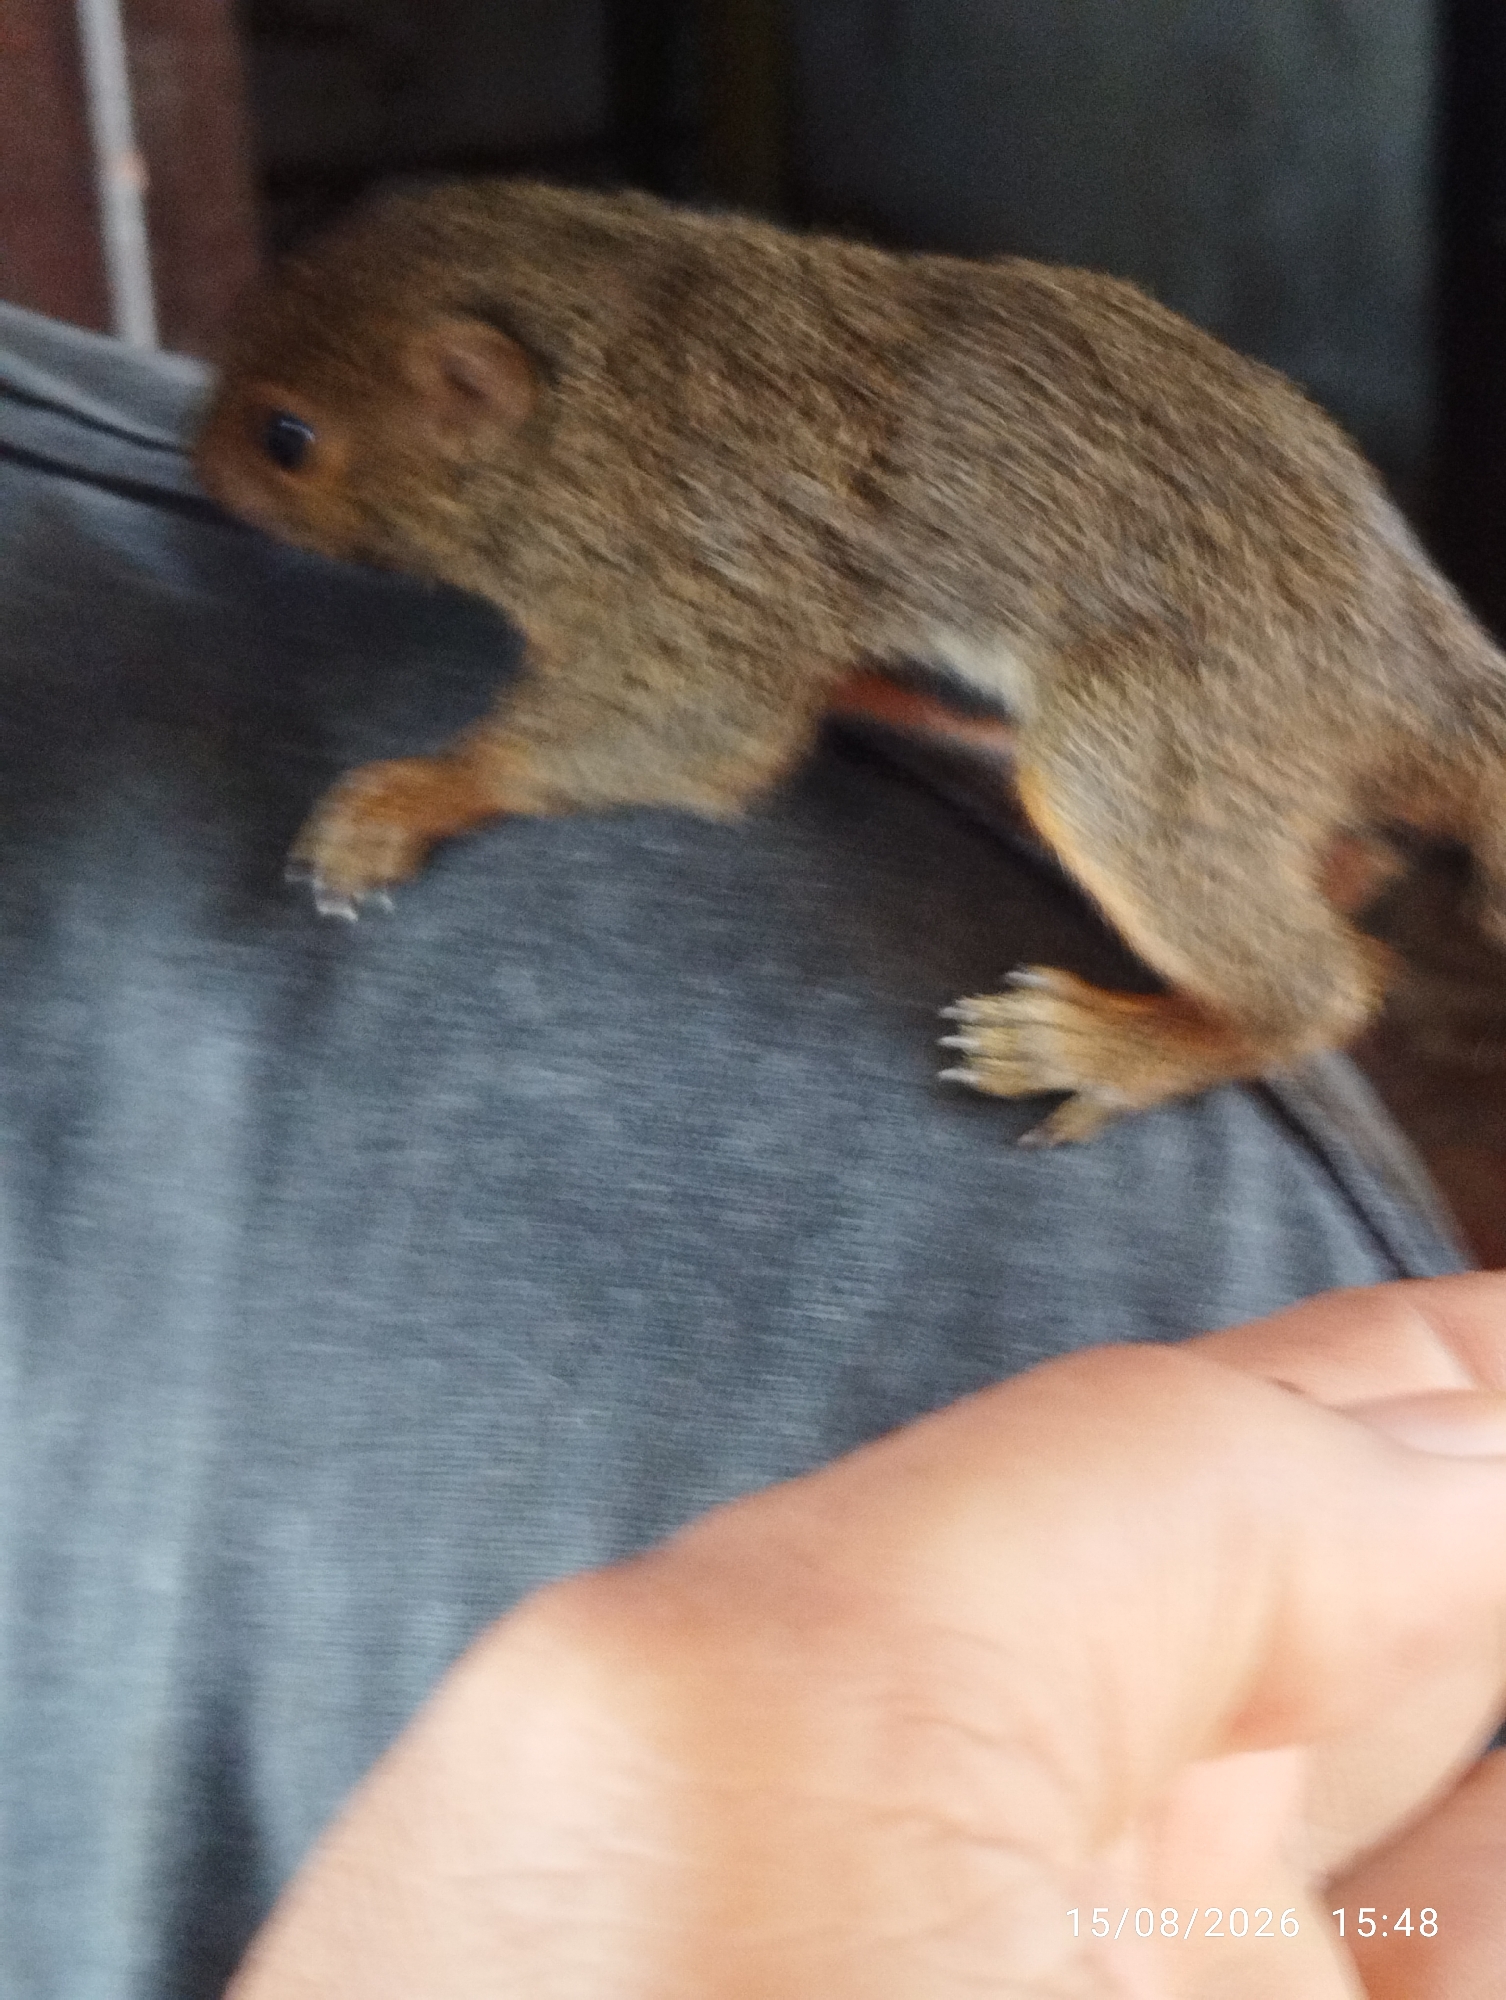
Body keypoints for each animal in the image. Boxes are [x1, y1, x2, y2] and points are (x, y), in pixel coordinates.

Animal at [192, 178, 1506, 1143]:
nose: (199, 467)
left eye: (288, 437)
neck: (599, 382)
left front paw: (412, 792)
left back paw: (1113, 1047)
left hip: (1169, 733)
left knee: (1323, 982)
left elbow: (697, 732)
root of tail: (1429, 665)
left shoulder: (701, 576)